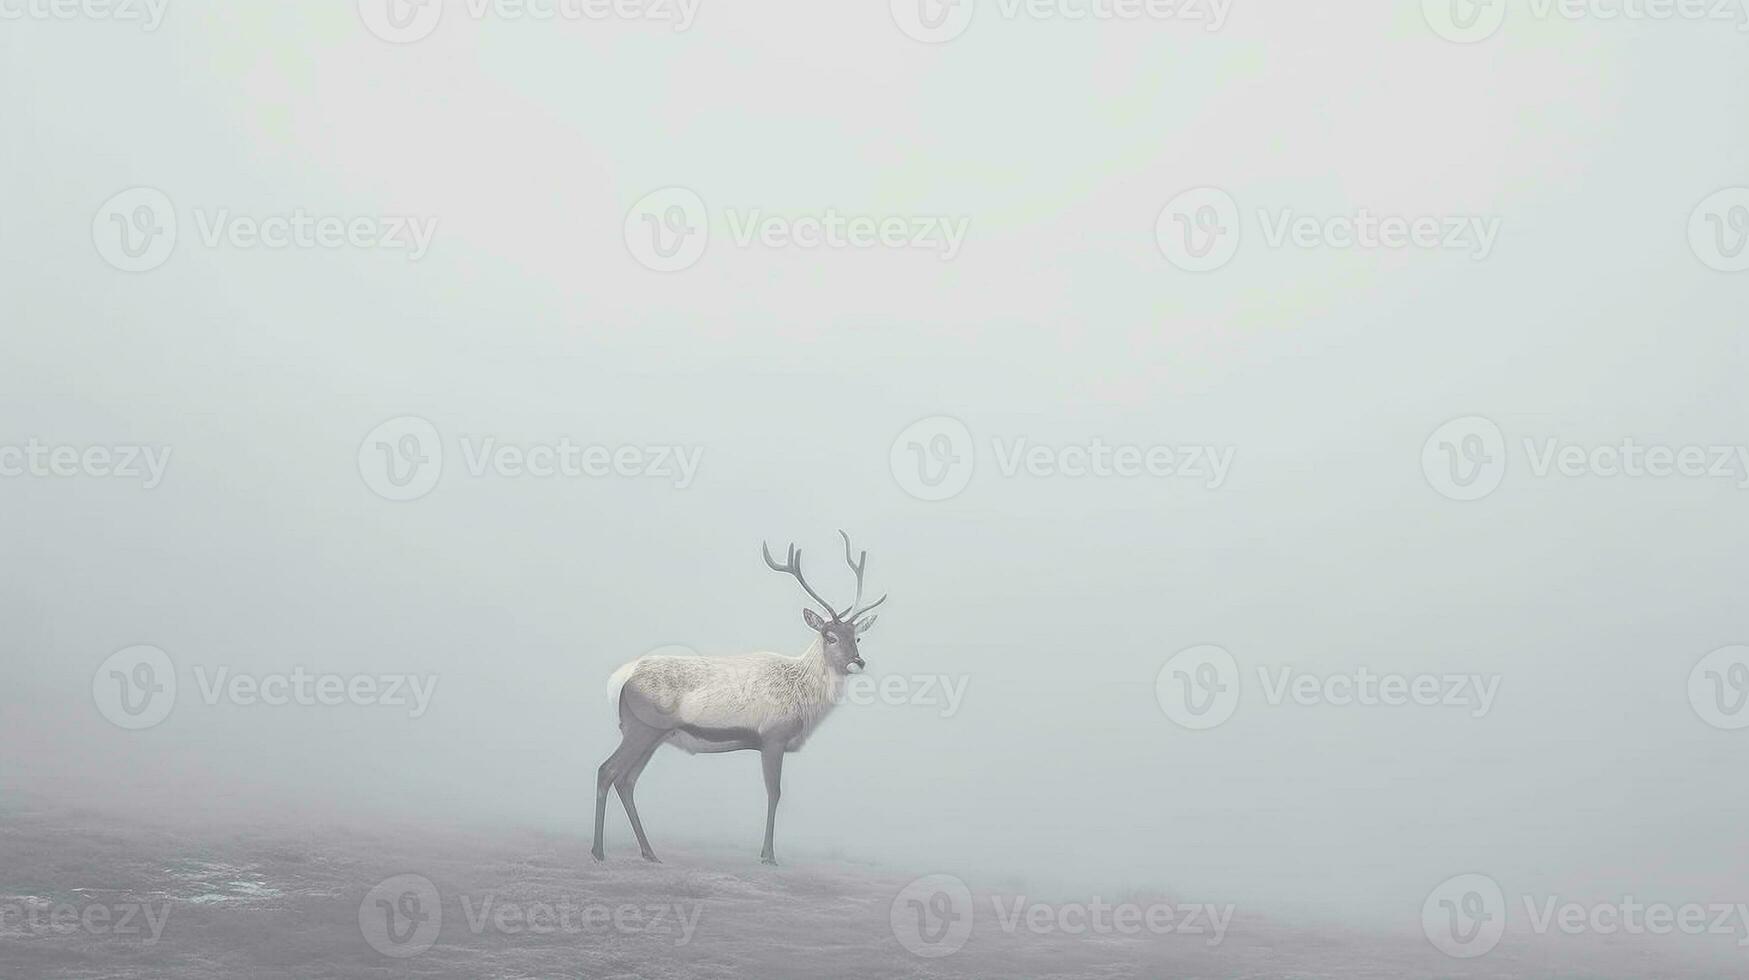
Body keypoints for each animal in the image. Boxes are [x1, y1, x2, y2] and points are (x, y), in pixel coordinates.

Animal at [591, 532, 888, 861]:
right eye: (830, 636)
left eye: (857, 636)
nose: (858, 662)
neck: (802, 697)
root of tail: (620, 680)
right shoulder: (772, 737)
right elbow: (775, 793)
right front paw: (768, 856)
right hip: (641, 729)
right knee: (607, 770)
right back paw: (598, 851)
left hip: (653, 736)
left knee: (627, 780)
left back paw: (649, 852)